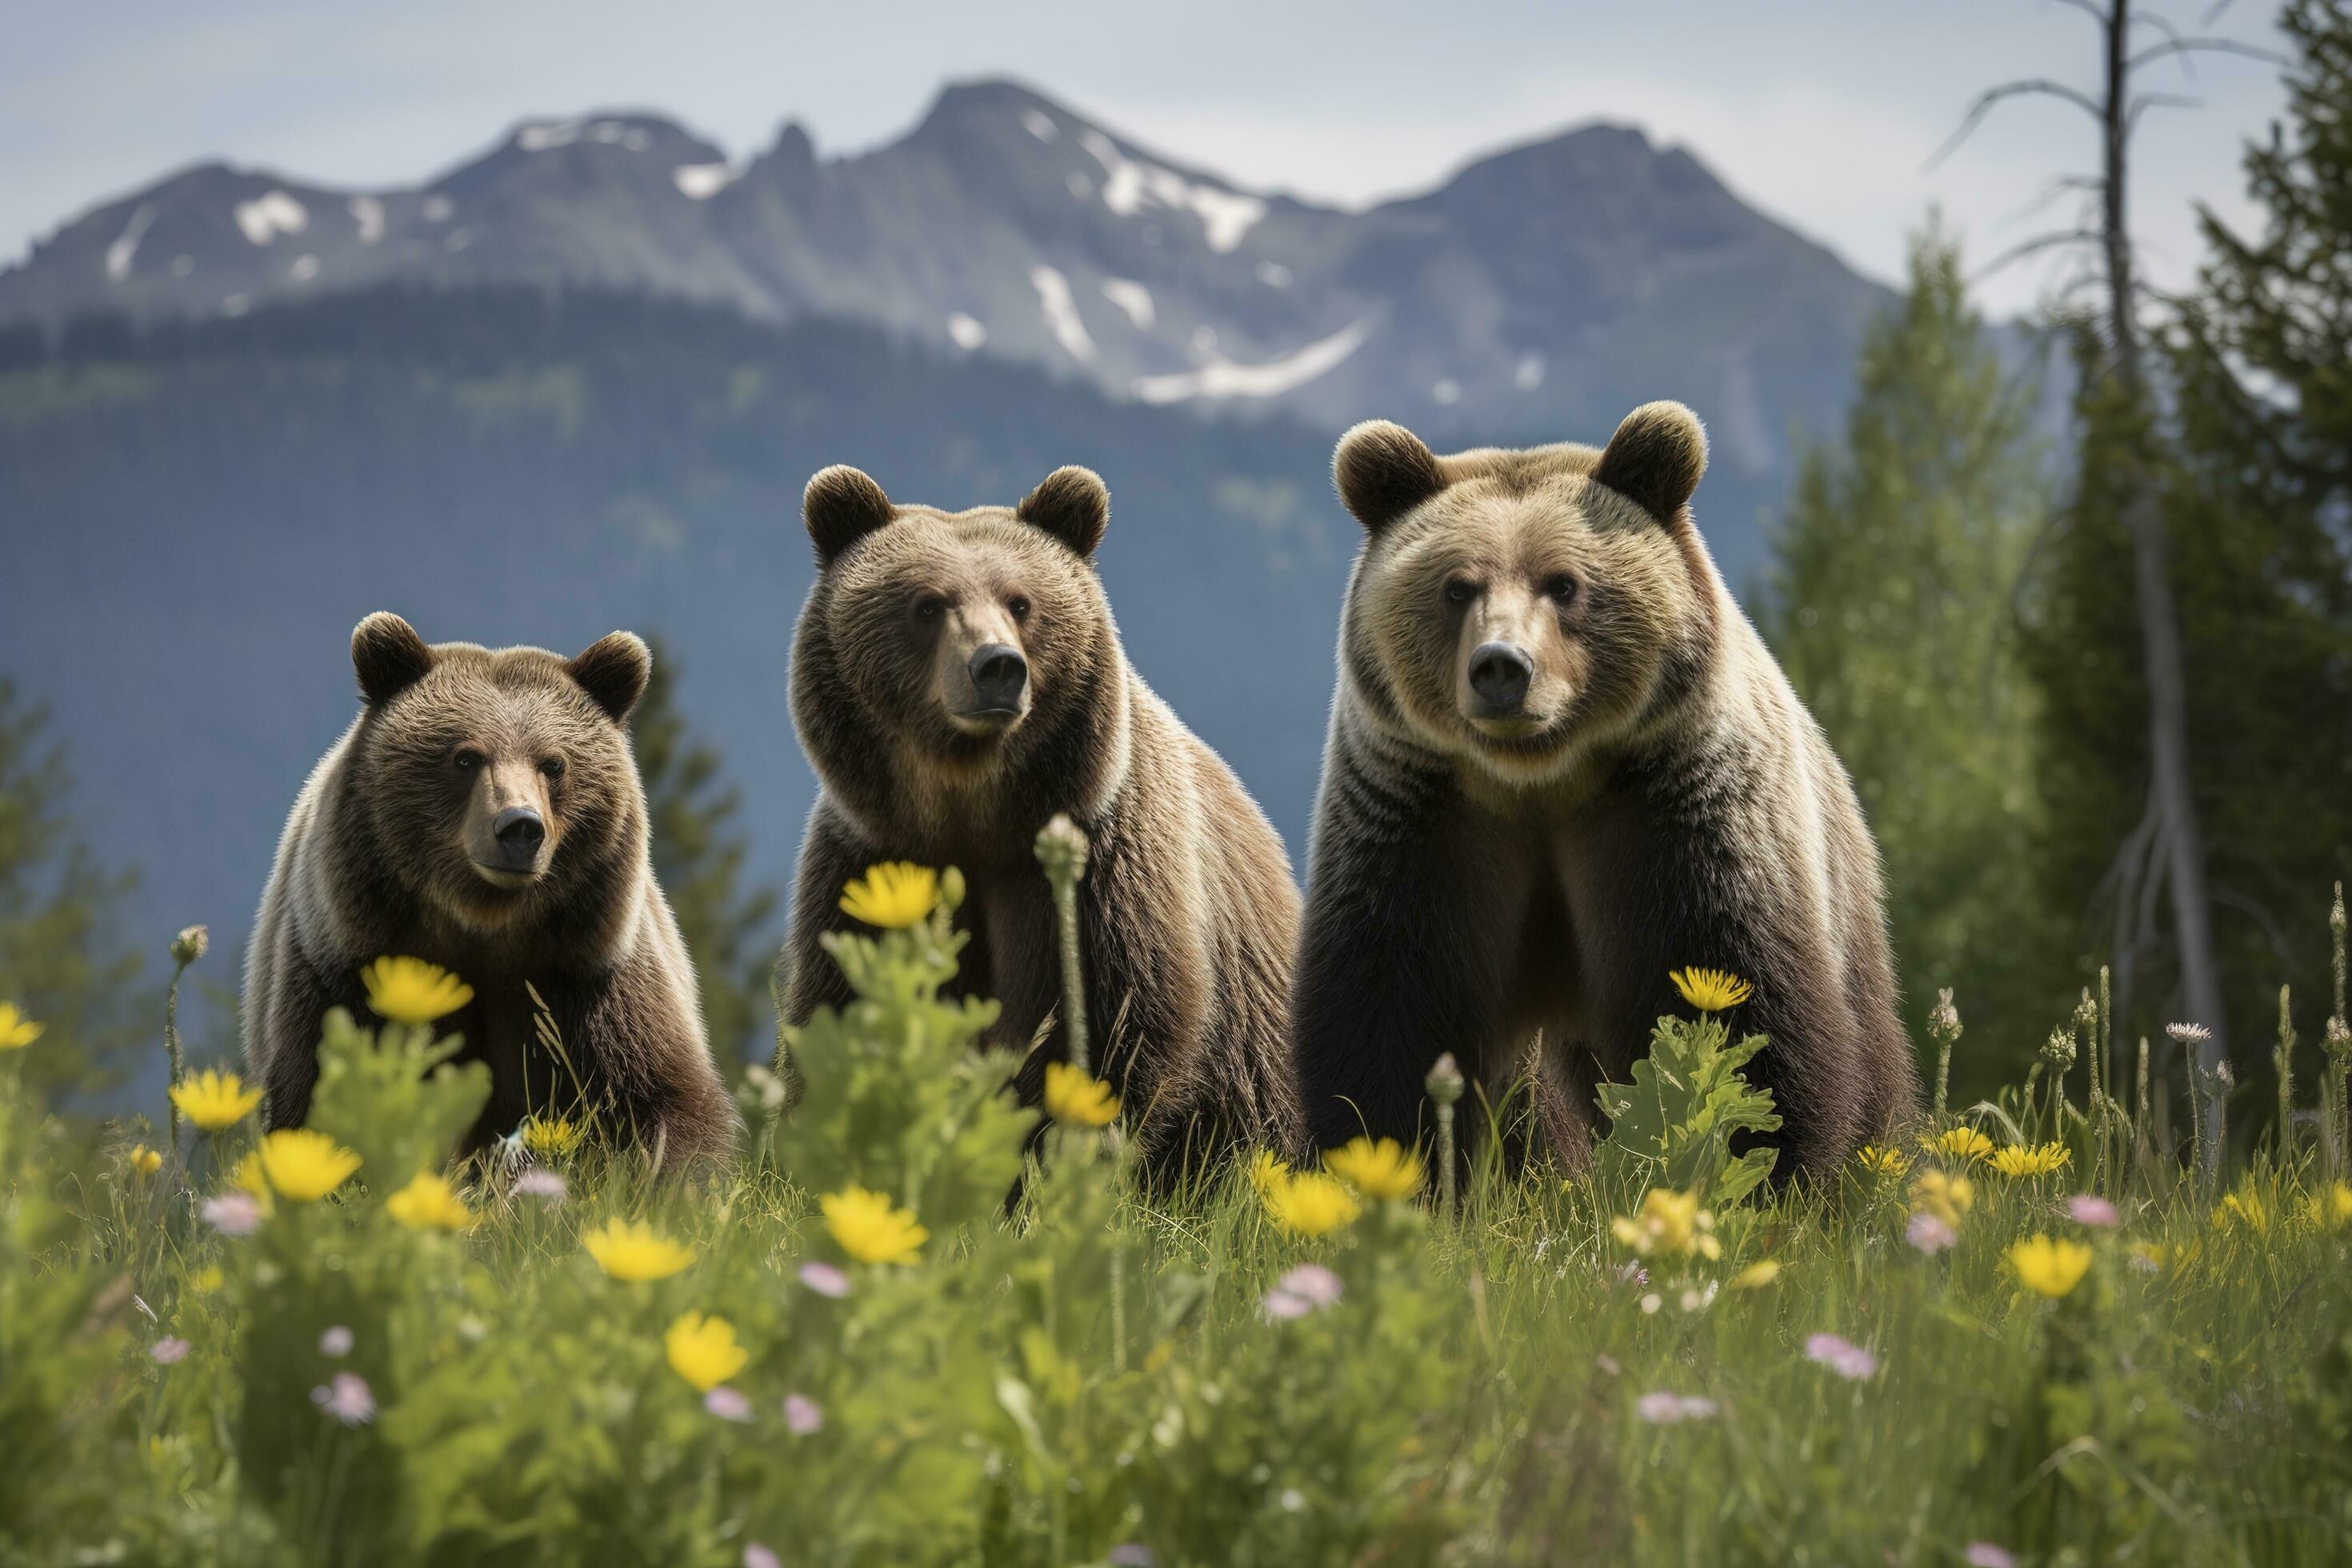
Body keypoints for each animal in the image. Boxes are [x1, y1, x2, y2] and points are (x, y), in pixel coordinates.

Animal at [243, 611, 738, 1166]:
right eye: (465, 758)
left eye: (554, 763)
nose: (520, 827)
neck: (486, 923)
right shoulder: (347, 965)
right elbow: (319, 1096)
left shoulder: (590, 974)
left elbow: (661, 1097)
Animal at [785, 462, 1307, 1175]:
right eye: (927, 604)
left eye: (1021, 602)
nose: (997, 668)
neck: (974, 815)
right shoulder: (871, 864)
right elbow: (844, 1007)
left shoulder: (1097, 871)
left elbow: (1100, 1034)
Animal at [1298, 402, 1919, 1175]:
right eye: (1456, 587)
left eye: (1563, 582)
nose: (1502, 667)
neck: (1538, 778)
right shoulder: (1426, 824)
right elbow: (1389, 1014)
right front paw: (1389, 1156)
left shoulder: (1671, 818)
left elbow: (1735, 1004)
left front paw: (1768, 1162)